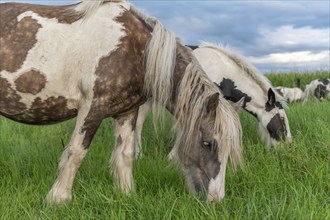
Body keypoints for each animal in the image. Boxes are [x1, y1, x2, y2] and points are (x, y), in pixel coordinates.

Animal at [0, 0, 242, 205]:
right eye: (207, 143)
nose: (215, 199)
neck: (134, 49)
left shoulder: (127, 111)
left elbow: (124, 155)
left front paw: (127, 194)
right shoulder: (93, 108)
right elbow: (76, 152)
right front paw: (58, 199)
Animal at [134, 42, 292, 158]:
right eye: (282, 119)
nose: (289, 146)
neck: (222, 71)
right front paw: (174, 156)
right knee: (138, 123)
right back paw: (138, 154)